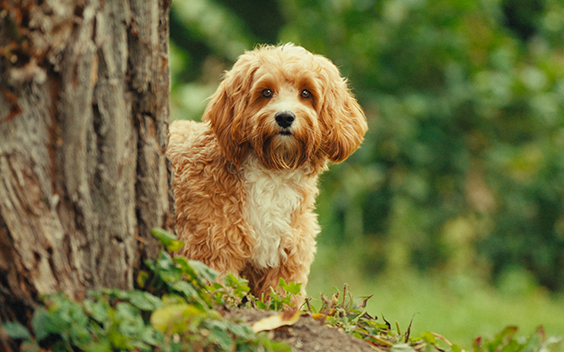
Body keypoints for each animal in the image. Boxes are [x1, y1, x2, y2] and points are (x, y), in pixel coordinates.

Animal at [166, 44, 370, 302]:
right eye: (266, 92)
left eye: (306, 93)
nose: (284, 117)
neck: (273, 171)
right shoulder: (212, 250)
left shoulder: (287, 259)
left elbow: (283, 300)